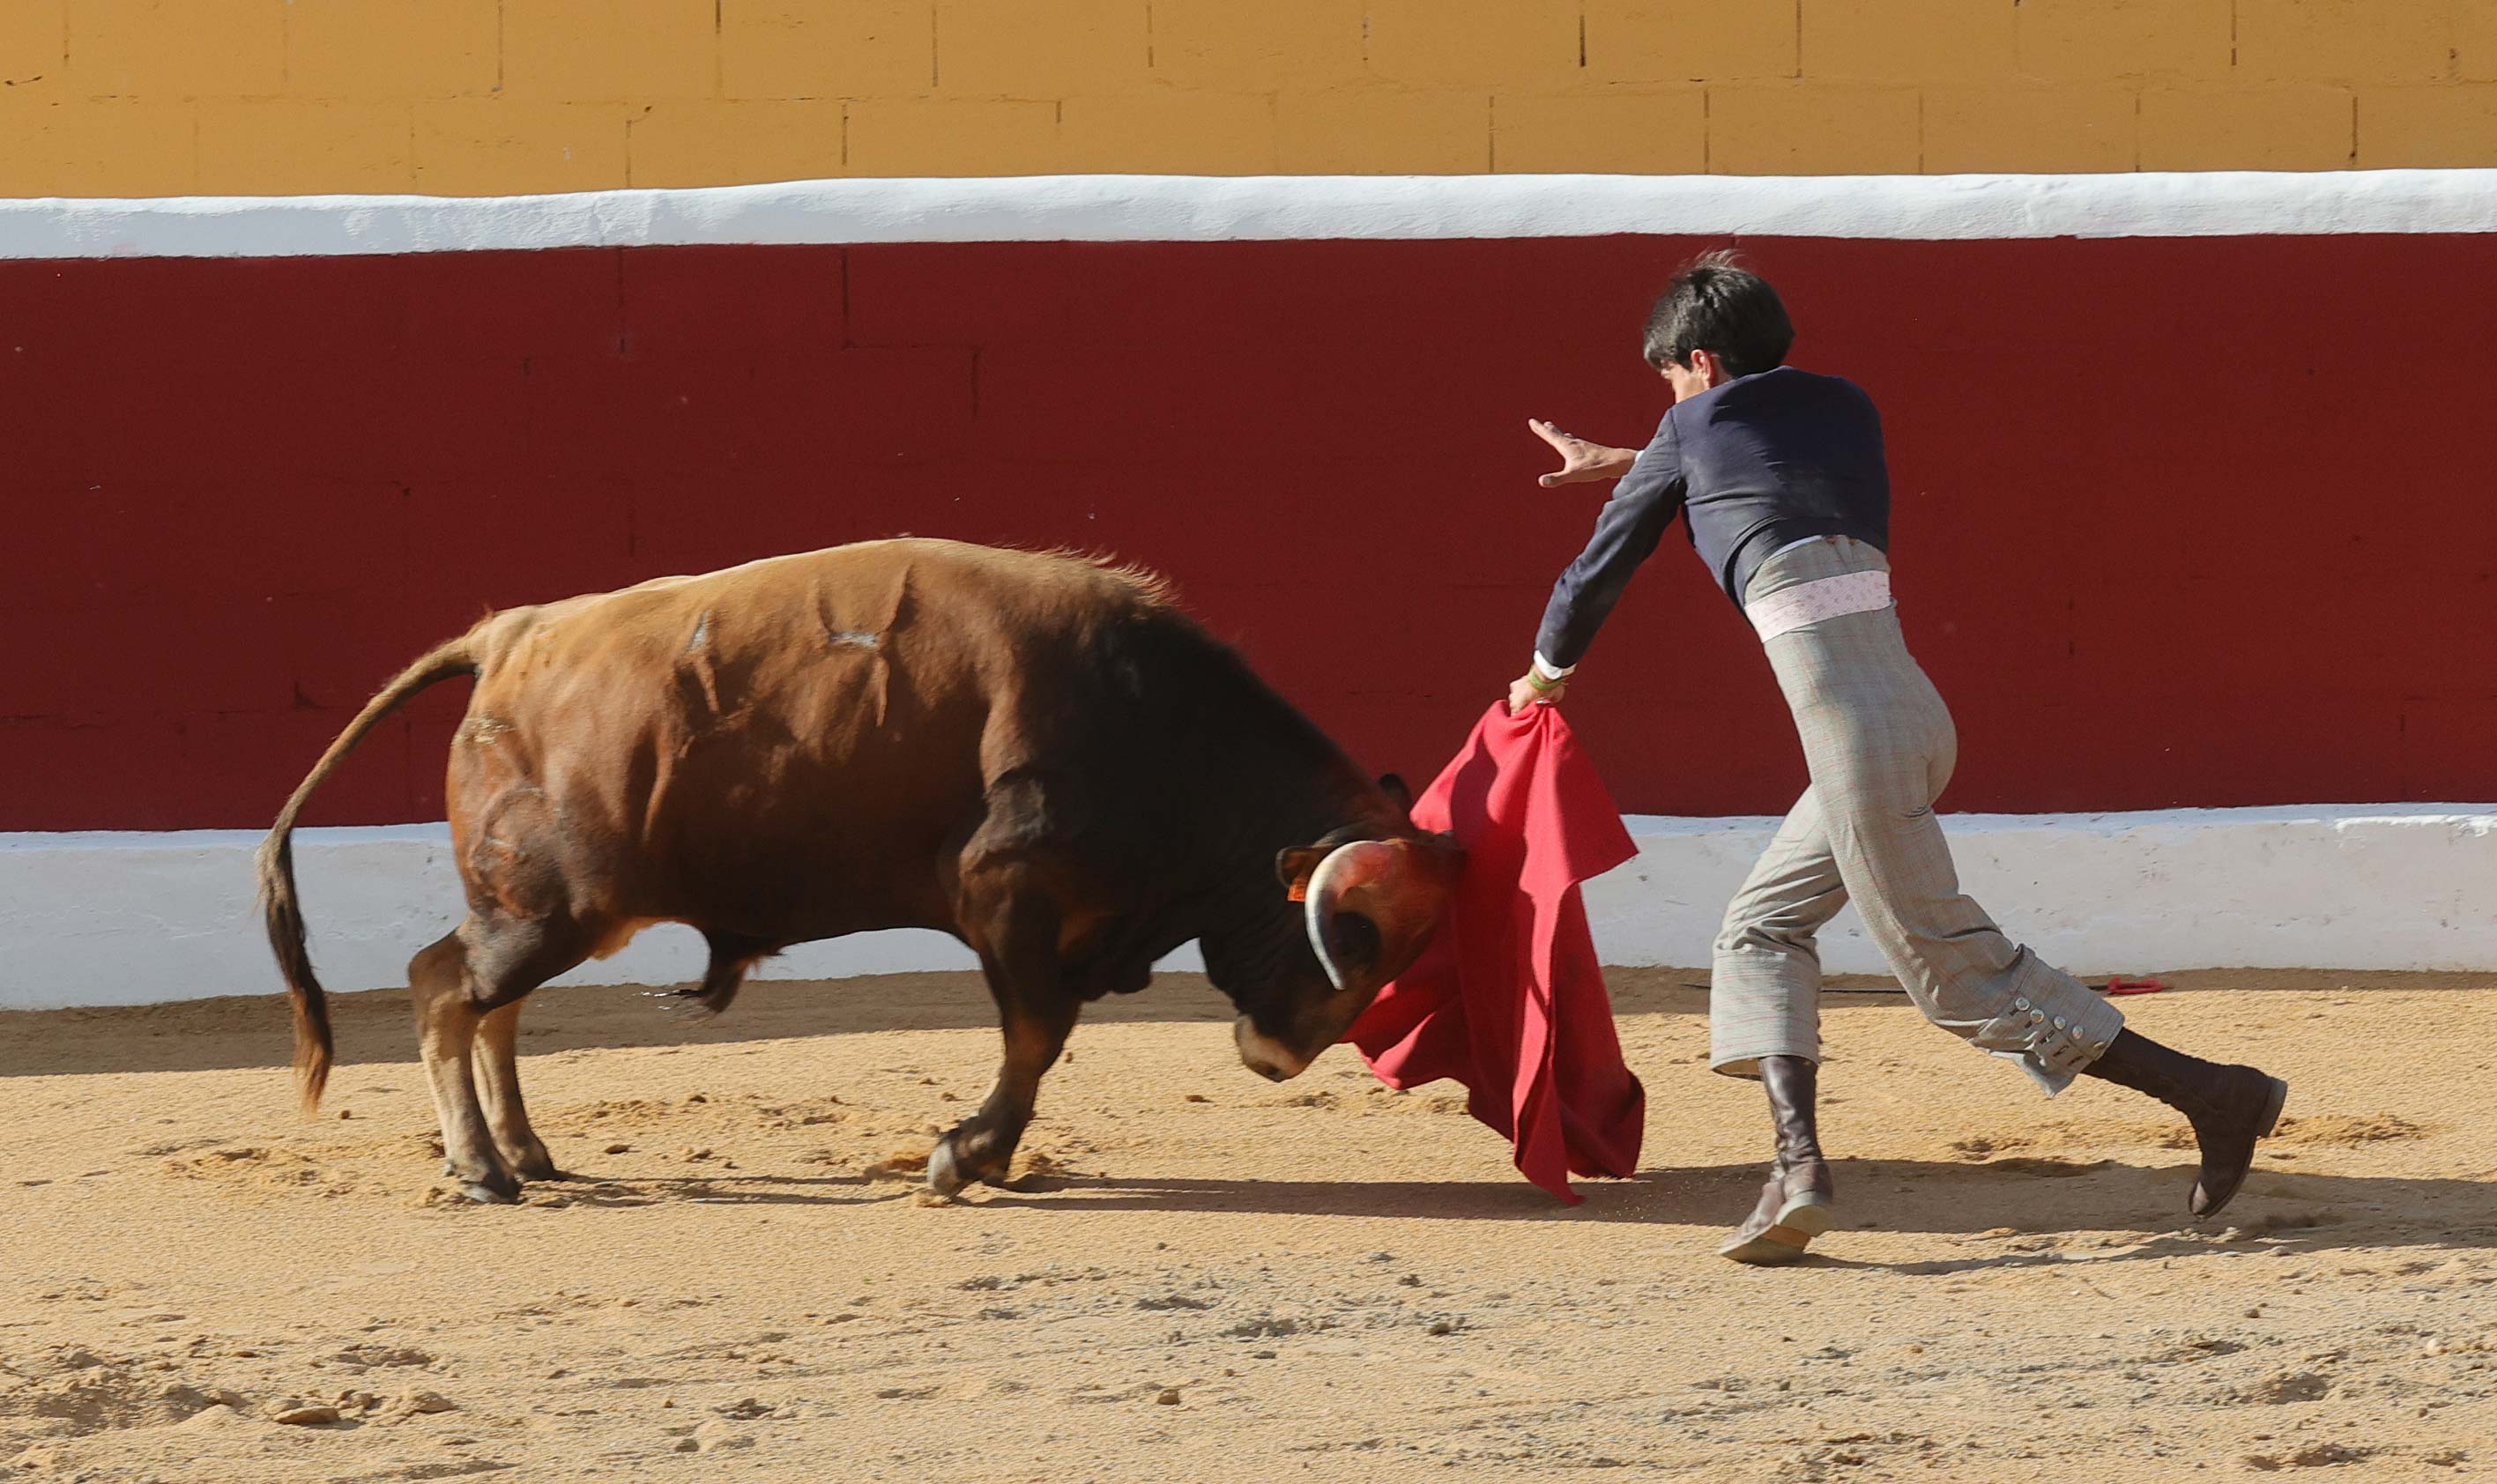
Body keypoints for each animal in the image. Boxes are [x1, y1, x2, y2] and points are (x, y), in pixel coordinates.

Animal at [253, 542, 1458, 1198]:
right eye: (1352, 939)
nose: (1280, 1058)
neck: (1160, 733)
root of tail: (507, 635)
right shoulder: (1006, 901)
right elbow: (1037, 1034)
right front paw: (967, 1155)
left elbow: (1039, 1036)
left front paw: (977, 1155)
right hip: (549, 906)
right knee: (440, 987)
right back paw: (481, 1168)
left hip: (552, 909)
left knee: (485, 1003)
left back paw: (525, 1150)